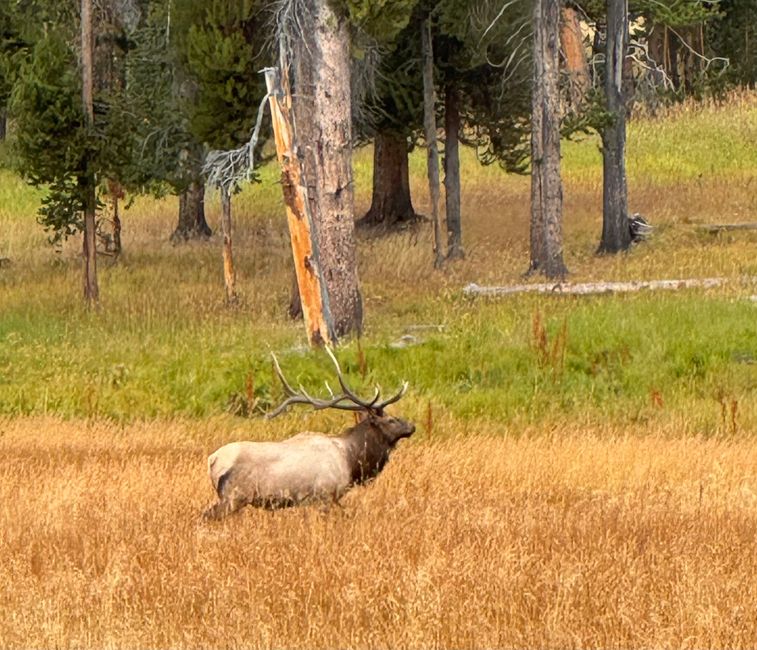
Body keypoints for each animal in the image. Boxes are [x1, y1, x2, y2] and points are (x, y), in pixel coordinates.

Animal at [202, 346, 414, 520]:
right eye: (390, 420)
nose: (412, 426)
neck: (351, 458)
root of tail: (213, 460)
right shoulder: (323, 496)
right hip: (233, 497)